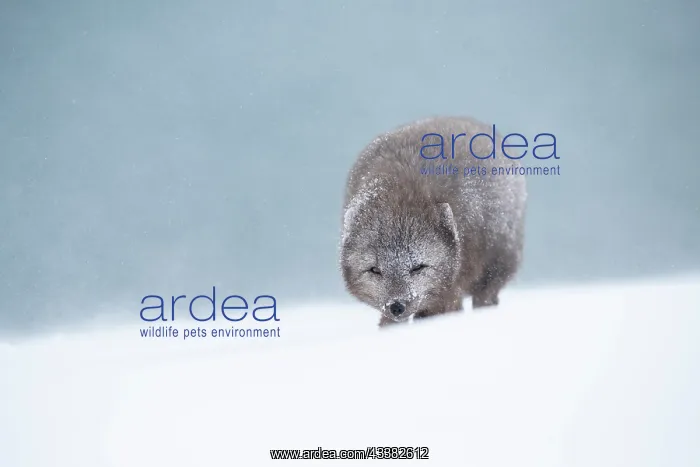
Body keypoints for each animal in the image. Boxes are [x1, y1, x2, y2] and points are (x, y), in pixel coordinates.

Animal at [339, 116, 527, 327]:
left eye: (418, 267)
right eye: (374, 270)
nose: (396, 306)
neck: (399, 190)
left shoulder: (451, 288)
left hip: (494, 268)